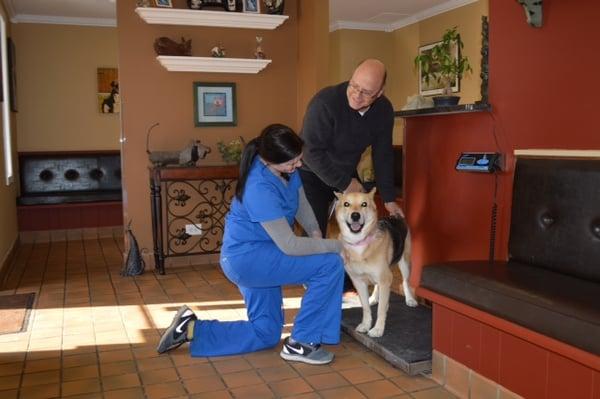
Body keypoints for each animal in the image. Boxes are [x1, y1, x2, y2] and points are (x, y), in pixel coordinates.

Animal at [332, 190, 418, 338]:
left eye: (364, 204)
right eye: (346, 204)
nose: (355, 216)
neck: (359, 243)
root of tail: (396, 216)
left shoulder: (385, 278)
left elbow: (381, 309)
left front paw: (378, 329)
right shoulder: (359, 282)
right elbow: (365, 307)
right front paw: (366, 325)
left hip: (404, 263)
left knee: (405, 281)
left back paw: (409, 299)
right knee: (378, 286)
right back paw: (373, 298)